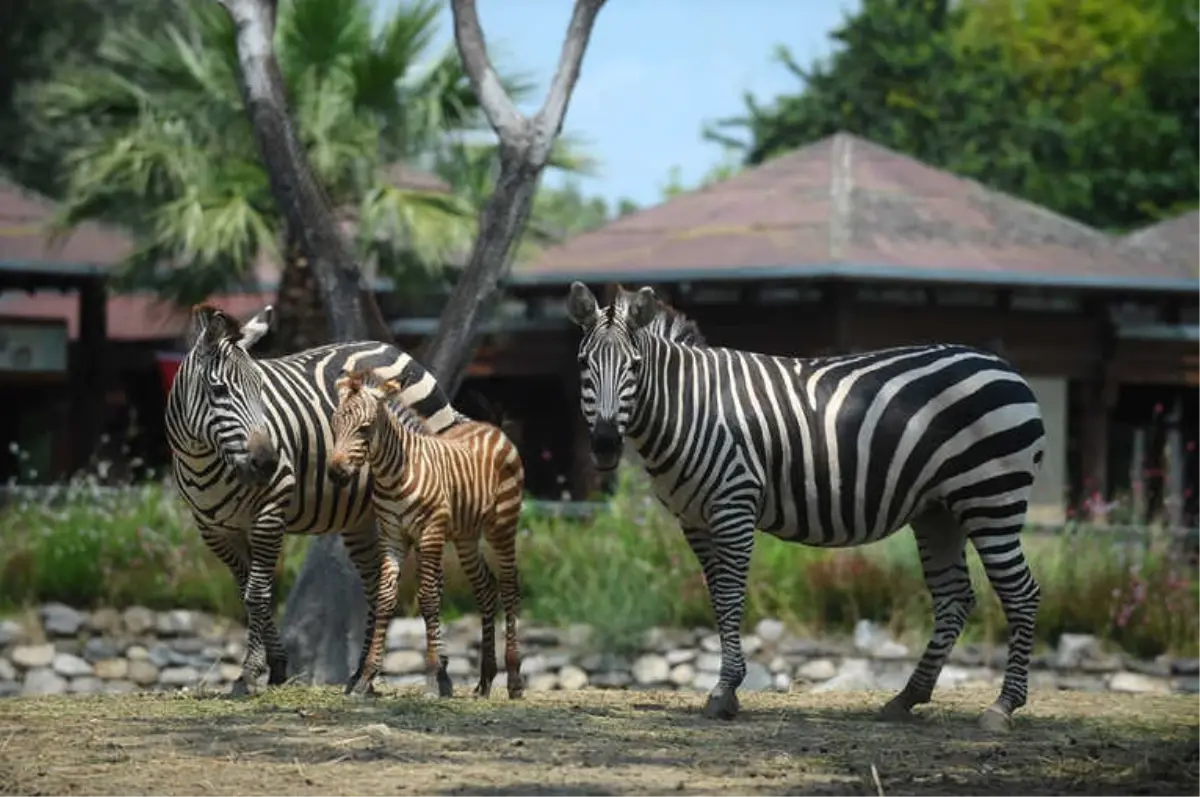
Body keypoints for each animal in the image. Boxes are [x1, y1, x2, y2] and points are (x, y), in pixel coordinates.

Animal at [166, 302, 465, 696]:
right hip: (362, 517)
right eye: (218, 390)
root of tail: (390, 348)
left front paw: (249, 674)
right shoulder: (214, 530)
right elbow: (247, 593)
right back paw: (361, 675)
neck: (204, 457)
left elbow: (257, 594)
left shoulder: (270, 510)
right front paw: (277, 667)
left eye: (261, 388)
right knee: (376, 584)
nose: (267, 462)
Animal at [324, 364, 525, 700]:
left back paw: (514, 680)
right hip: (466, 535)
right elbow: (384, 598)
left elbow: (429, 599)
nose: (335, 473)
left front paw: (433, 678)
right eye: (334, 426)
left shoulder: (430, 533)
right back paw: (485, 680)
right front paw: (366, 678)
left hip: (503, 524)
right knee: (486, 587)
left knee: (510, 587)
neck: (394, 475)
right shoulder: (392, 536)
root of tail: (491, 427)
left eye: (364, 429)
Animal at [566, 282, 1046, 734]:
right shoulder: (695, 520)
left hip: (991, 499)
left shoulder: (734, 504)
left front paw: (724, 691)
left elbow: (731, 596)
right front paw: (728, 689)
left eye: (634, 367)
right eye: (583, 365)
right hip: (939, 512)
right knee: (954, 598)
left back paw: (1002, 706)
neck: (688, 407)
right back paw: (907, 697)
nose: (605, 445)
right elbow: (717, 598)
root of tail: (1005, 366)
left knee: (1021, 594)